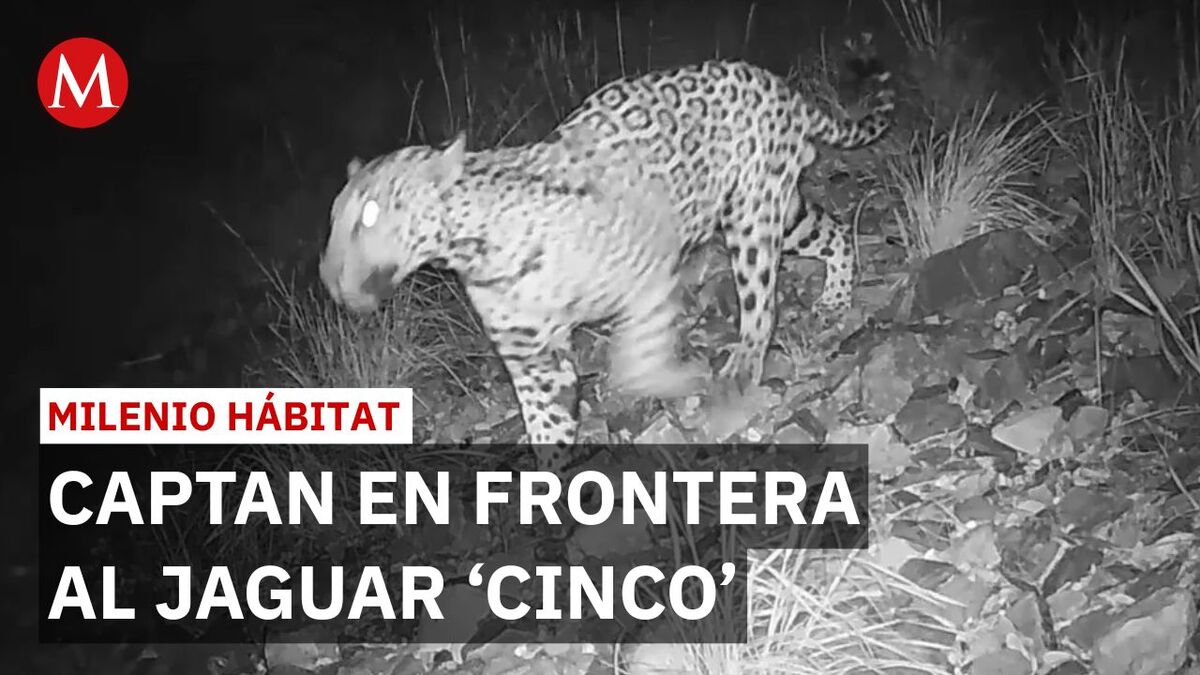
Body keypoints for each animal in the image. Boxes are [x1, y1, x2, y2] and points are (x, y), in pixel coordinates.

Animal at [319, 126, 706, 471]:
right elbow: (547, 422)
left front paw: (676, 385)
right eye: (333, 217)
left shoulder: (648, 269)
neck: (473, 252)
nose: (326, 276)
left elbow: (643, 348)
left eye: (369, 215)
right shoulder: (530, 353)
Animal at [552, 36, 895, 390]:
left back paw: (743, 366)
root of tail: (784, 90)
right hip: (780, 209)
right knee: (832, 229)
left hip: (752, 215)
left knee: (760, 300)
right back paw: (834, 300)